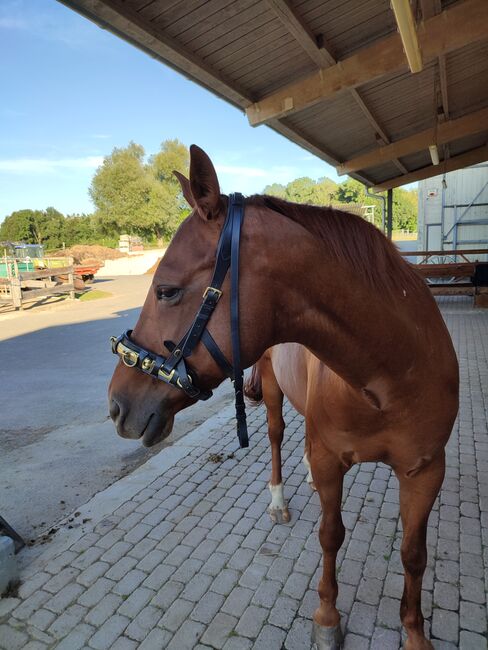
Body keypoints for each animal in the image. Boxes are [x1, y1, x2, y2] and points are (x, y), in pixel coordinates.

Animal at [108, 146, 460, 648]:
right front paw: (327, 618)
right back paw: (278, 501)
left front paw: (414, 632)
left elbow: (414, 554)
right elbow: (331, 534)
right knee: (276, 437)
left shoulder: (425, 471)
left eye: (167, 291)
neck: (391, 373)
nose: (117, 404)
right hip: (274, 395)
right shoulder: (333, 461)